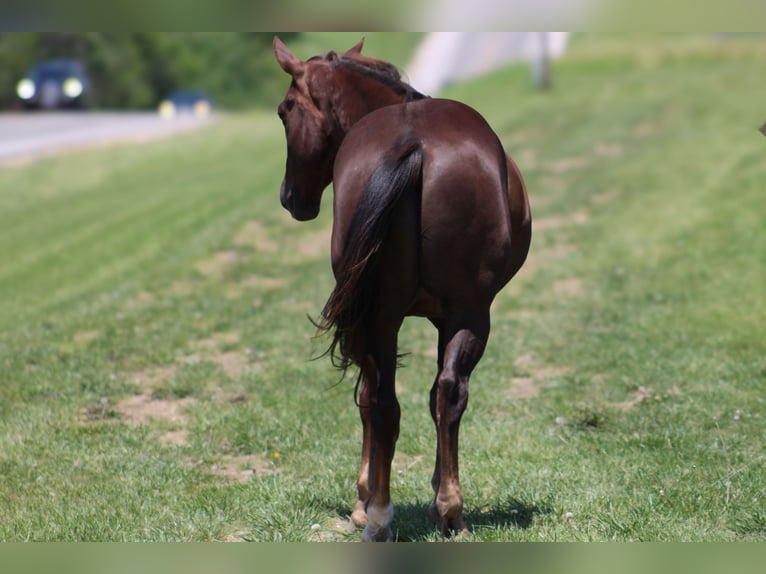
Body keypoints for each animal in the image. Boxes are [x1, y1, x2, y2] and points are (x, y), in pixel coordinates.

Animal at [276, 37, 536, 544]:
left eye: (284, 111)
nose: (289, 197)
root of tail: (413, 144)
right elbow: (433, 392)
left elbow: (368, 399)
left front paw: (362, 500)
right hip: (466, 313)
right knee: (443, 393)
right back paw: (448, 512)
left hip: (393, 315)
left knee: (384, 401)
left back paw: (380, 515)